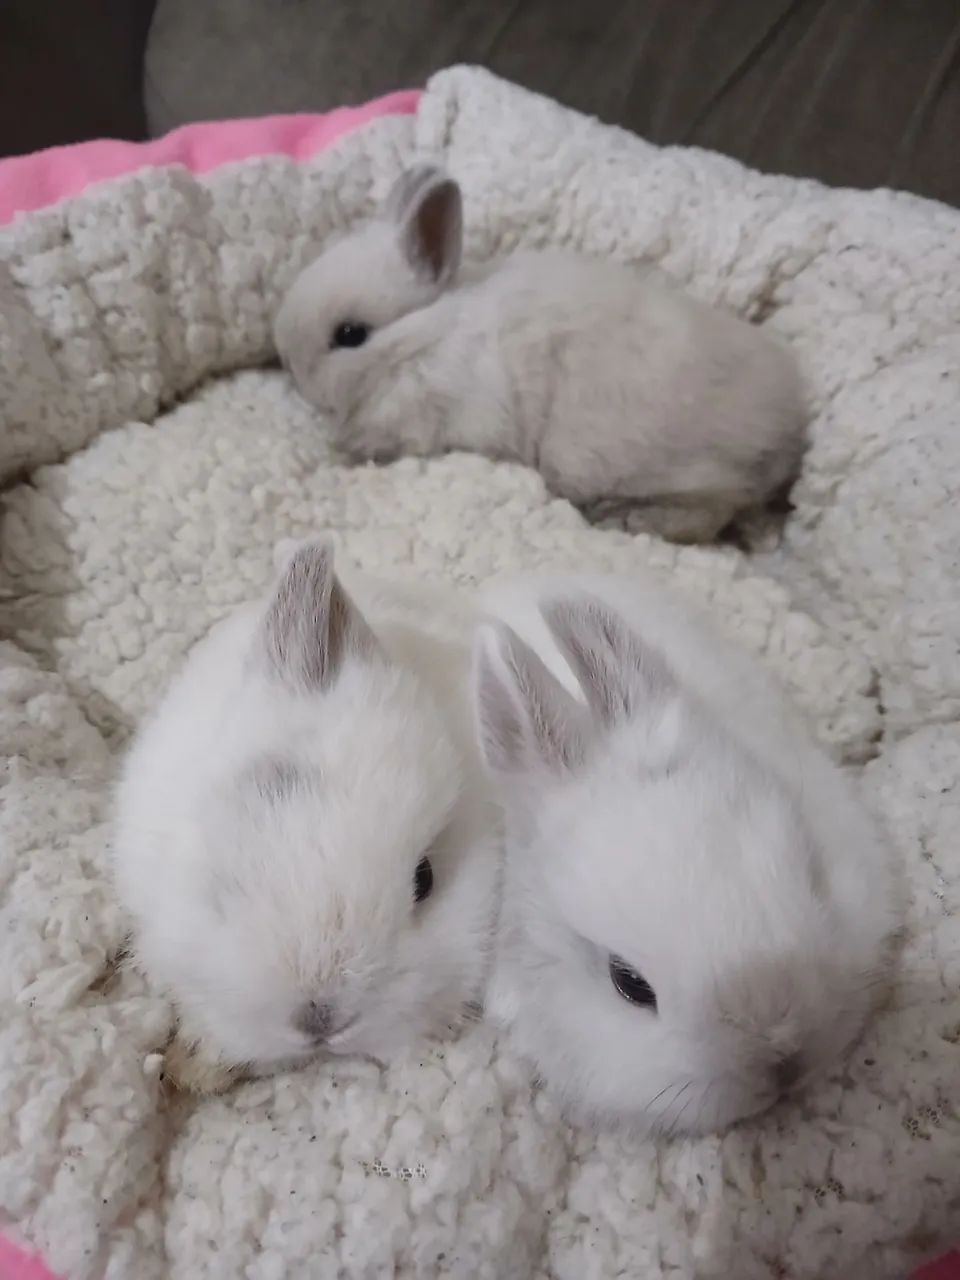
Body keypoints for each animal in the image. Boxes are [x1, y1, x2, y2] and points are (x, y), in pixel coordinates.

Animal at [274, 164, 807, 544]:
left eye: (350, 334)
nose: (290, 365)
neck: (426, 334)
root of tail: (788, 435)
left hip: (633, 462)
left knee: (711, 512)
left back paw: (626, 520)